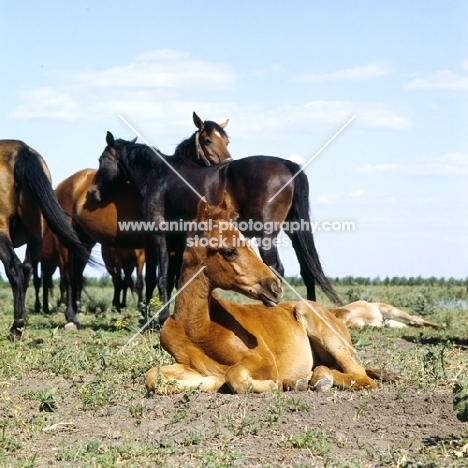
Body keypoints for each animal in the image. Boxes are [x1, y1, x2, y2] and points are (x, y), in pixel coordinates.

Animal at [89, 130, 342, 324]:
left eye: (101, 160)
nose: (94, 192)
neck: (158, 176)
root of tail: (287, 165)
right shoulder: (178, 240)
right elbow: (174, 279)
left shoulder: (159, 235)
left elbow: (161, 278)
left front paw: (160, 319)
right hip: (294, 231)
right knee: (307, 270)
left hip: (266, 235)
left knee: (276, 269)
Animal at [144, 195, 390, 394]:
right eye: (229, 251)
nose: (275, 287)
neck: (197, 328)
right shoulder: (188, 366)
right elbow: (153, 376)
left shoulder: (263, 360)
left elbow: (234, 376)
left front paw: (276, 384)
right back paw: (310, 379)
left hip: (322, 328)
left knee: (362, 377)